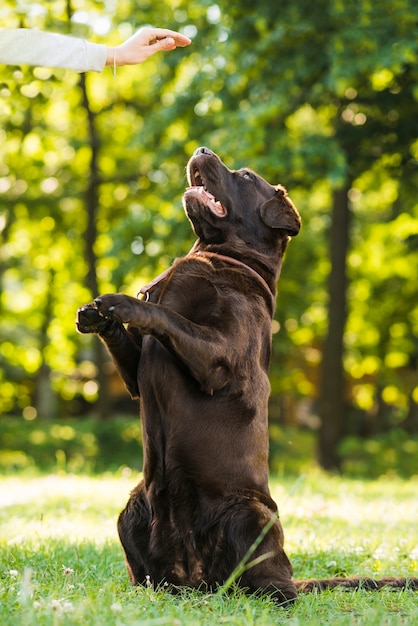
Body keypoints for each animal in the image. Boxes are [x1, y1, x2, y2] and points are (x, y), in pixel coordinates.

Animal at [76, 149, 416, 604]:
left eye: (247, 176)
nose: (201, 149)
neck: (217, 255)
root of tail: (197, 580)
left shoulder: (219, 357)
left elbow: (166, 315)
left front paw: (124, 303)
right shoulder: (136, 375)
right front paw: (96, 315)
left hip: (250, 514)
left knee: (276, 587)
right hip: (131, 511)